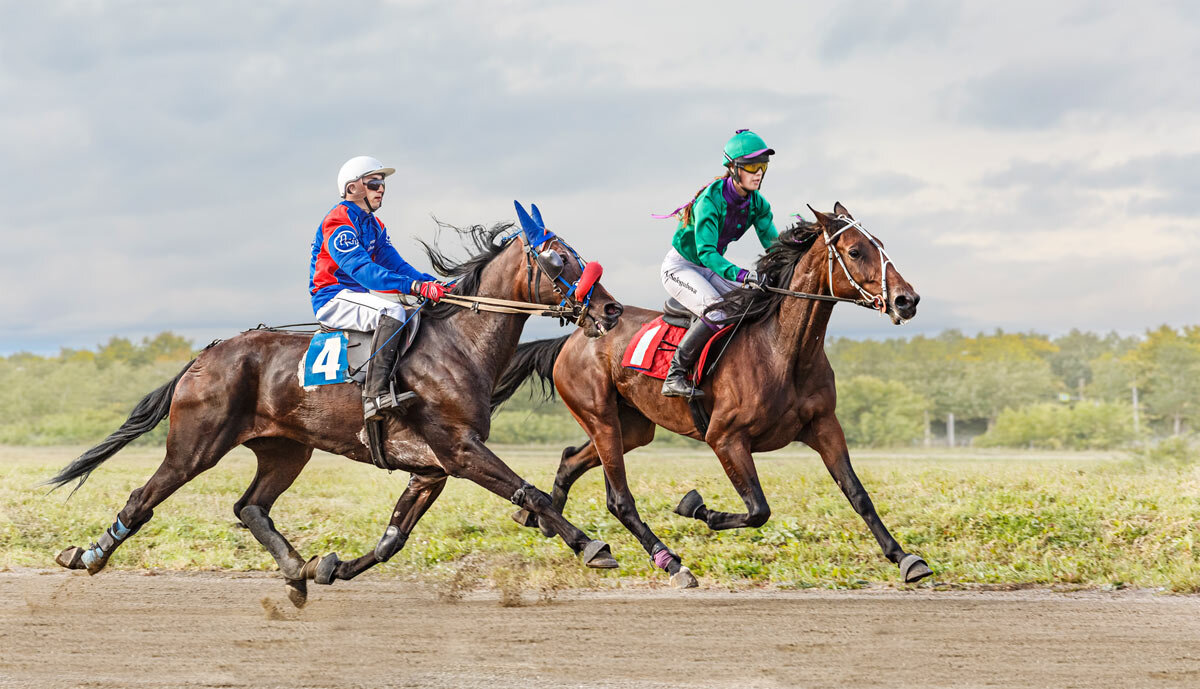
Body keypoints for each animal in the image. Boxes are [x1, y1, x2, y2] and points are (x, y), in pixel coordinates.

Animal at [44, 207, 628, 607]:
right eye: (558, 258)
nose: (610, 309)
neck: (459, 344)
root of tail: (203, 356)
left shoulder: (430, 469)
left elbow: (393, 538)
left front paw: (336, 567)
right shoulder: (460, 451)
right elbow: (533, 494)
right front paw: (592, 546)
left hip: (285, 450)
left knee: (250, 507)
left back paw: (299, 569)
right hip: (194, 447)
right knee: (142, 498)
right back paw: (86, 556)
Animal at [492, 204, 931, 588]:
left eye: (881, 244)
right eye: (855, 251)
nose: (906, 300)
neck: (783, 350)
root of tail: (573, 336)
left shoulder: (825, 426)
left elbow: (858, 494)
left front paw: (906, 558)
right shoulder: (725, 438)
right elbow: (758, 510)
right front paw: (694, 506)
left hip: (632, 428)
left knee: (571, 459)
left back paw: (544, 520)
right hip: (600, 418)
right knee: (619, 499)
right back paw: (668, 563)